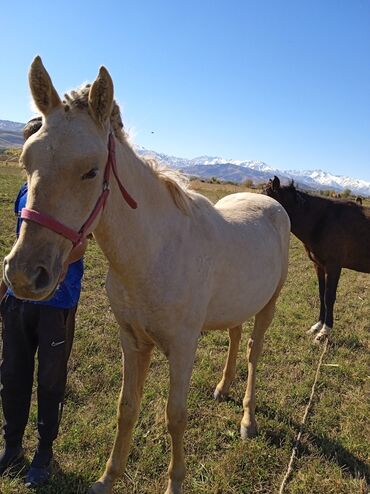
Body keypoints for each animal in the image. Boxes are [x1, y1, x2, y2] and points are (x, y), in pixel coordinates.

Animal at [4, 58, 290, 494]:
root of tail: (270, 203)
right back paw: (222, 388)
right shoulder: (133, 340)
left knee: (254, 354)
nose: (23, 274)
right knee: (235, 336)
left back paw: (247, 420)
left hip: (268, 307)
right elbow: (126, 408)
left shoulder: (183, 348)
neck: (153, 253)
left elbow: (176, 416)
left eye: (91, 172)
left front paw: (174, 483)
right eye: (26, 162)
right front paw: (108, 478)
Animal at [266, 177, 370, 344]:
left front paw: (324, 332)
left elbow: (329, 297)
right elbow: (322, 294)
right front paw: (317, 326)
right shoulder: (319, 265)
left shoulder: (334, 266)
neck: (322, 220)